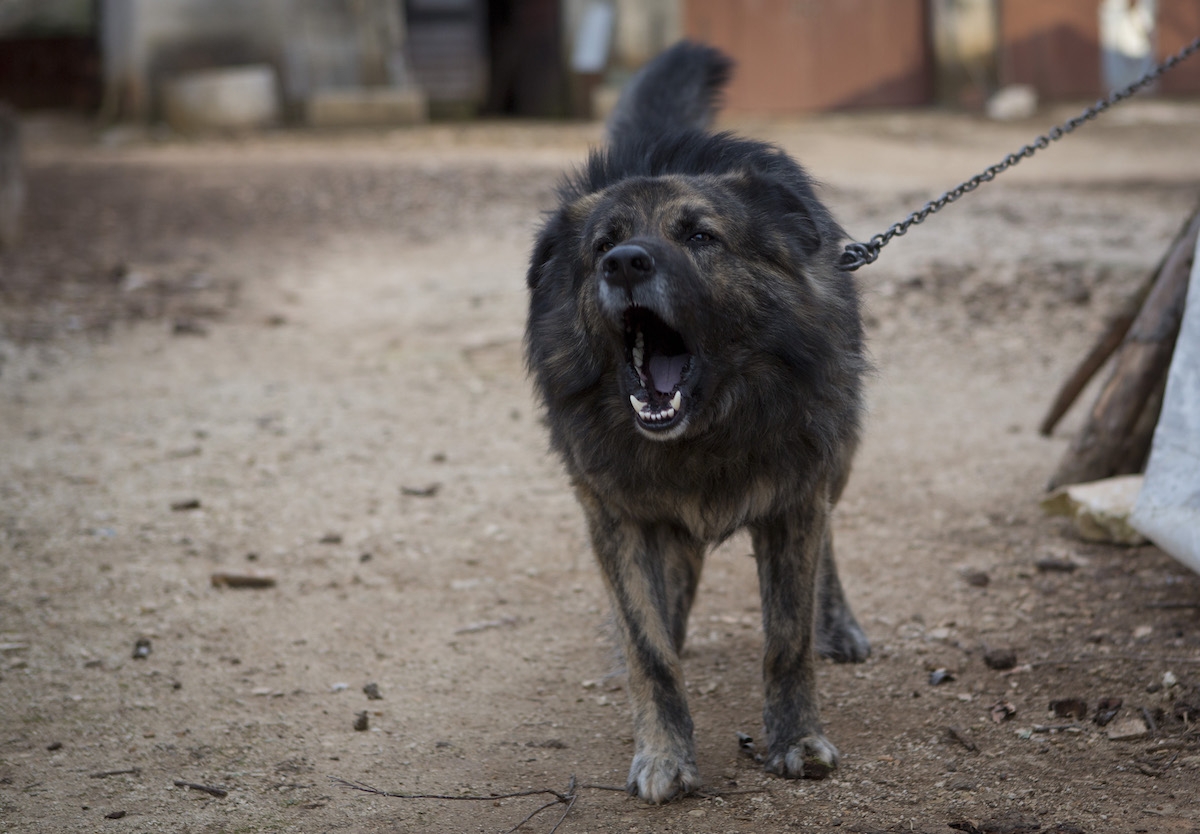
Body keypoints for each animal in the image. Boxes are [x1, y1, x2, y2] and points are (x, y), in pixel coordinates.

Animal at [520, 42, 868, 806]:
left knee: (830, 541)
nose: (624, 264)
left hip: (839, 454)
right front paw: (664, 752)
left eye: (700, 236)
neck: (704, 433)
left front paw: (796, 739)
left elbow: (787, 640)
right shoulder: (617, 513)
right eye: (603, 244)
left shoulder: (794, 497)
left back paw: (840, 622)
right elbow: (648, 649)